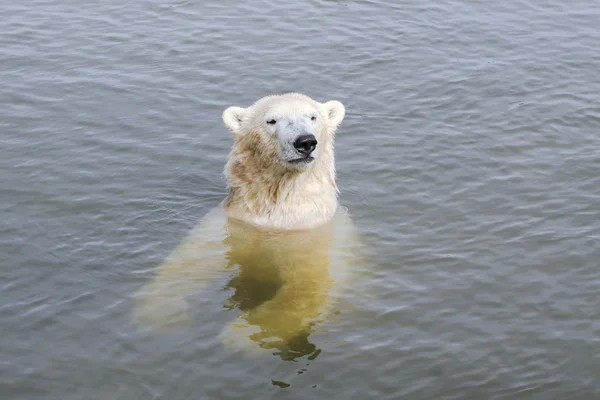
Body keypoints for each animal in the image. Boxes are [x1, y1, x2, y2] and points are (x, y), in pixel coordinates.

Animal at [133, 94, 364, 360]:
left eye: (313, 116)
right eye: (271, 120)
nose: (305, 142)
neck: (278, 215)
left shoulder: (312, 237)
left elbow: (305, 289)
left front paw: (240, 334)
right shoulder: (236, 222)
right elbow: (190, 261)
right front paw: (162, 313)